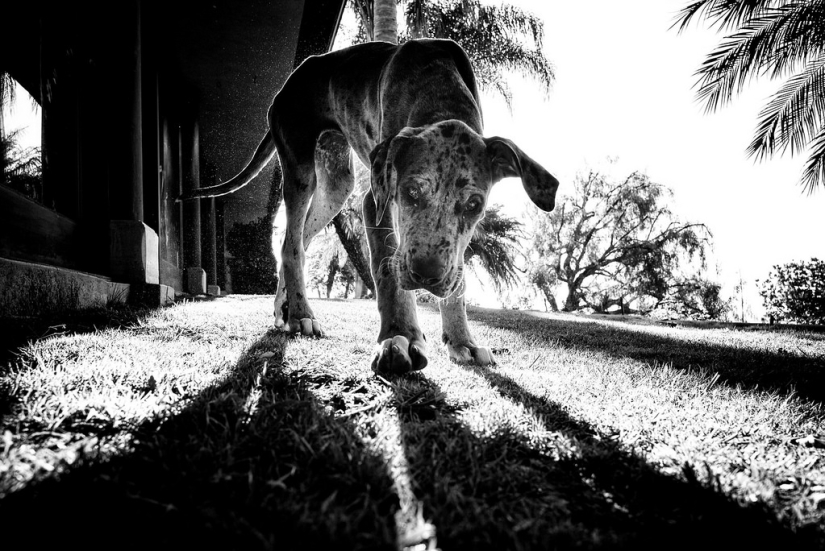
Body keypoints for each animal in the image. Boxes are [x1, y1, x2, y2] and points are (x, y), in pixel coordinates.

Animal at [180, 38, 560, 376]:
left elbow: (459, 278)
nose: (427, 276)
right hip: (301, 169)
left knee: (297, 241)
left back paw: (285, 309)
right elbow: (388, 272)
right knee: (290, 245)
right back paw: (302, 314)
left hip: (337, 185)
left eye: (474, 204)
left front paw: (462, 341)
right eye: (410, 192)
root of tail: (289, 82)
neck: (439, 95)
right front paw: (401, 337)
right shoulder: (375, 203)